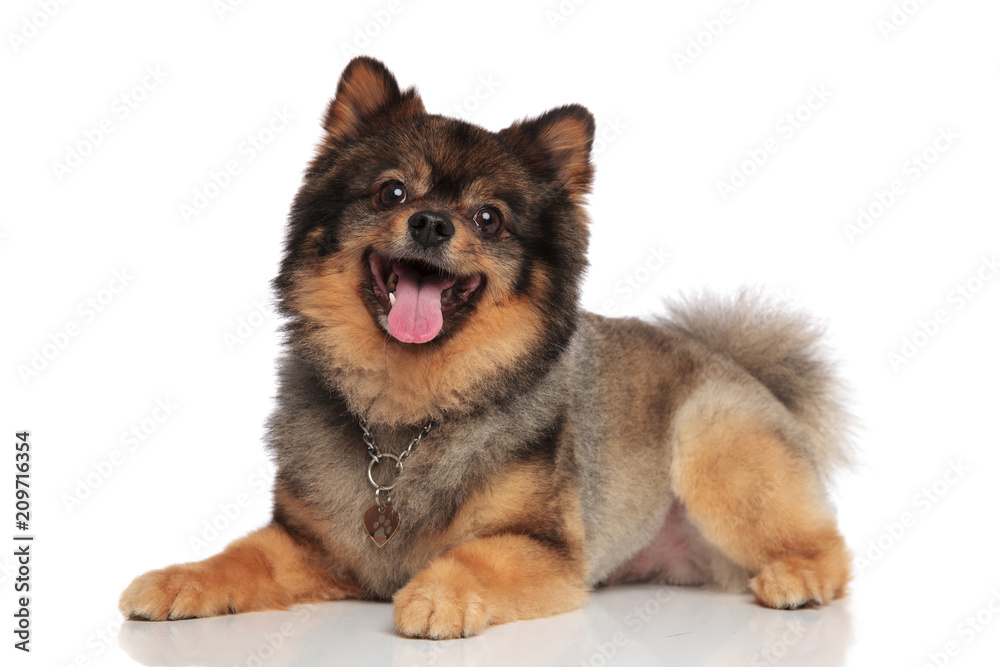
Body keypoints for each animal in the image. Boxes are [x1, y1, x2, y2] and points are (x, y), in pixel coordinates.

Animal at [119, 56, 852, 636]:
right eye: (392, 191)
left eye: (489, 217)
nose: (430, 222)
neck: (406, 416)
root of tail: (737, 366)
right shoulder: (310, 543)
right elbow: (238, 556)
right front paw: (180, 579)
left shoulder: (544, 545)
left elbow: (475, 554)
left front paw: (439, 595)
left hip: (714, 443)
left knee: (829, 546)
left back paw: (797, 578)